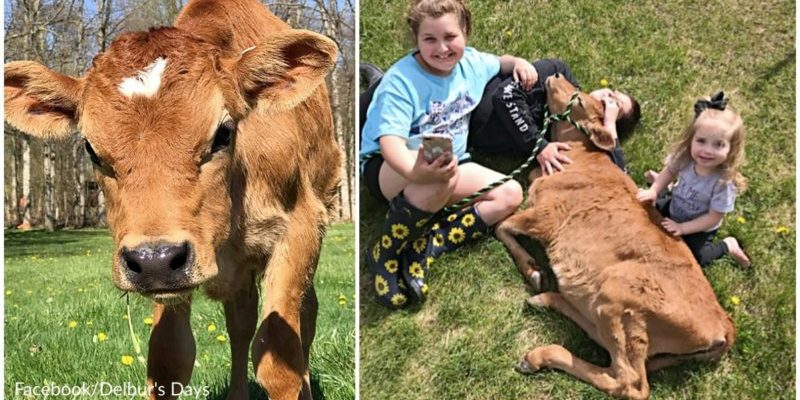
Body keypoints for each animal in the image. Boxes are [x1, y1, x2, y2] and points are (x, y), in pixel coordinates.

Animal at [6, 0, 342, 400]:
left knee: (305, 315)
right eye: (90, 148)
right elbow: (169, 357)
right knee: (240, 322)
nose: (155, 260)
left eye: (223, 133)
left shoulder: (301, 227)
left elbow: (279, 356)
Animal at [496, 73, 736, 398]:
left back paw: (539, 355)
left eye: (579, 98)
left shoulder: (546, 215)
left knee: (629, 381)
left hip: (619, 295)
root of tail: (723, 324)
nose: (556, 75)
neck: (580, 155)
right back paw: (546, 300)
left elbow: (502, 226)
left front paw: (532, 270)